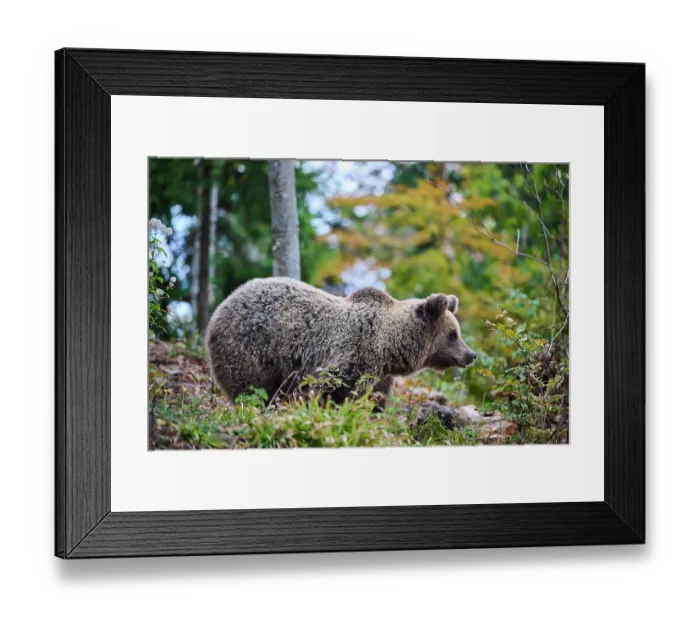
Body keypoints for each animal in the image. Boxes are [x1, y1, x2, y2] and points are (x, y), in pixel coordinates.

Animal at [205, 276, 477, 407]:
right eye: (453, 334)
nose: (471, 355)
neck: (388, 348)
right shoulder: (348, 359)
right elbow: (333, 391)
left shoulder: (380, 376)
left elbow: (375, 400)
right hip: (253, 347)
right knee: (253, 388)